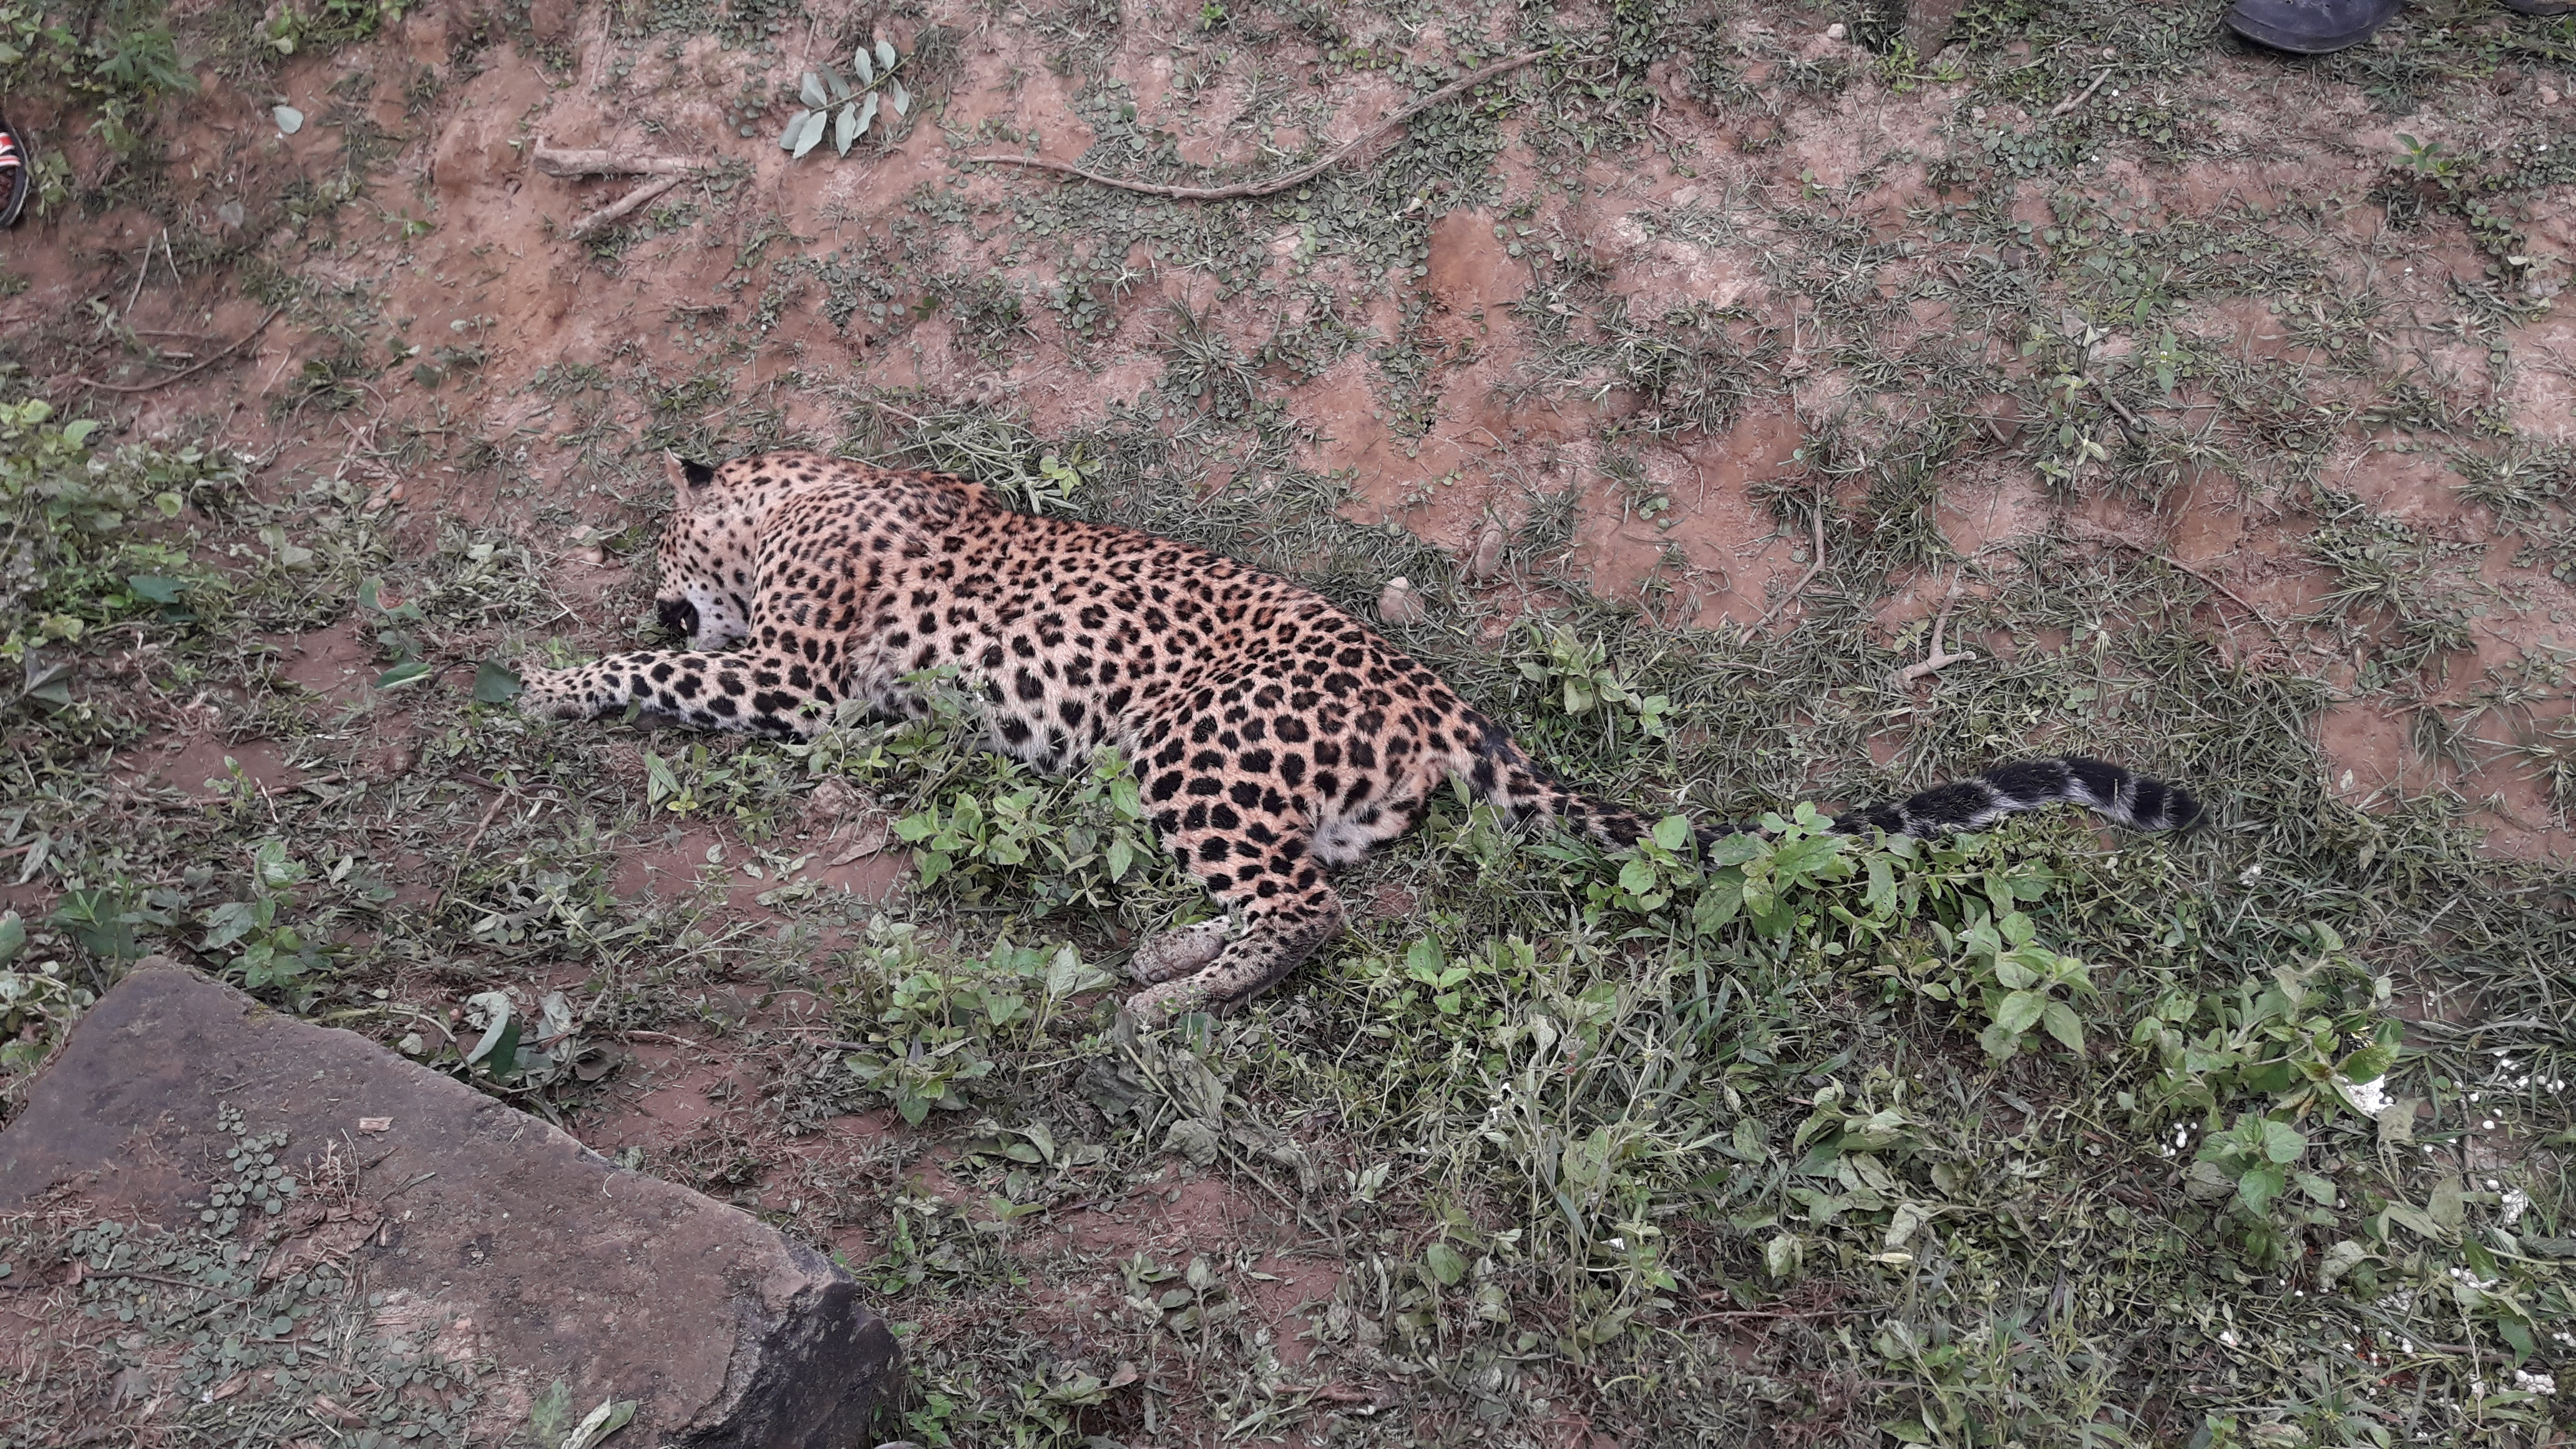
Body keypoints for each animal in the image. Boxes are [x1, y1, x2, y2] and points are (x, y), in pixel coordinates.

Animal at [517, 451, 2195, 1015]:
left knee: (1308, 912)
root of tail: (1434, 688)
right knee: (1309, 892)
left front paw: (537, 678)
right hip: (1229, 787)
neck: (795, 490)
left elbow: (650, 679)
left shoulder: (795, 682)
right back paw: (1162, 956)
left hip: (1190, 749)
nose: (660, 588)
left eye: (662, 552)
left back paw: (1163, 1001)